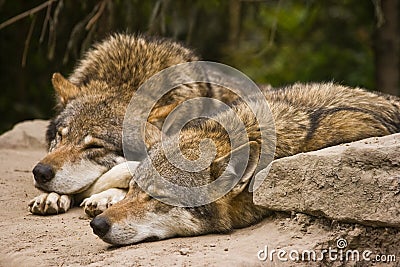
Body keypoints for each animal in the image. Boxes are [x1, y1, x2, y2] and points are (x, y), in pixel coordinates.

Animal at [29, 34, 236, 218]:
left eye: (95, 146)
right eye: (60, 136)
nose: (40, 173)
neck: (127, 80)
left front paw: (105, 197)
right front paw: (51, 195)